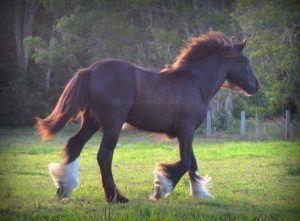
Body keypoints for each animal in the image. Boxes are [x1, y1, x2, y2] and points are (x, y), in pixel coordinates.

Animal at [37, 32, 258, 203]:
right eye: (244, 61)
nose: (255, 86)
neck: (195, 83)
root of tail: (90, 70)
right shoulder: (186, 130)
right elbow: (185, 161)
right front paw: (160, 187)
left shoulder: (187, 132)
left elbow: (192, 162)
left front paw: (200, 193)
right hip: (112, 124)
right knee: (104, 155)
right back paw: (116, 197)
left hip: (92, 121)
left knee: (75, 144)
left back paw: (64, 188)